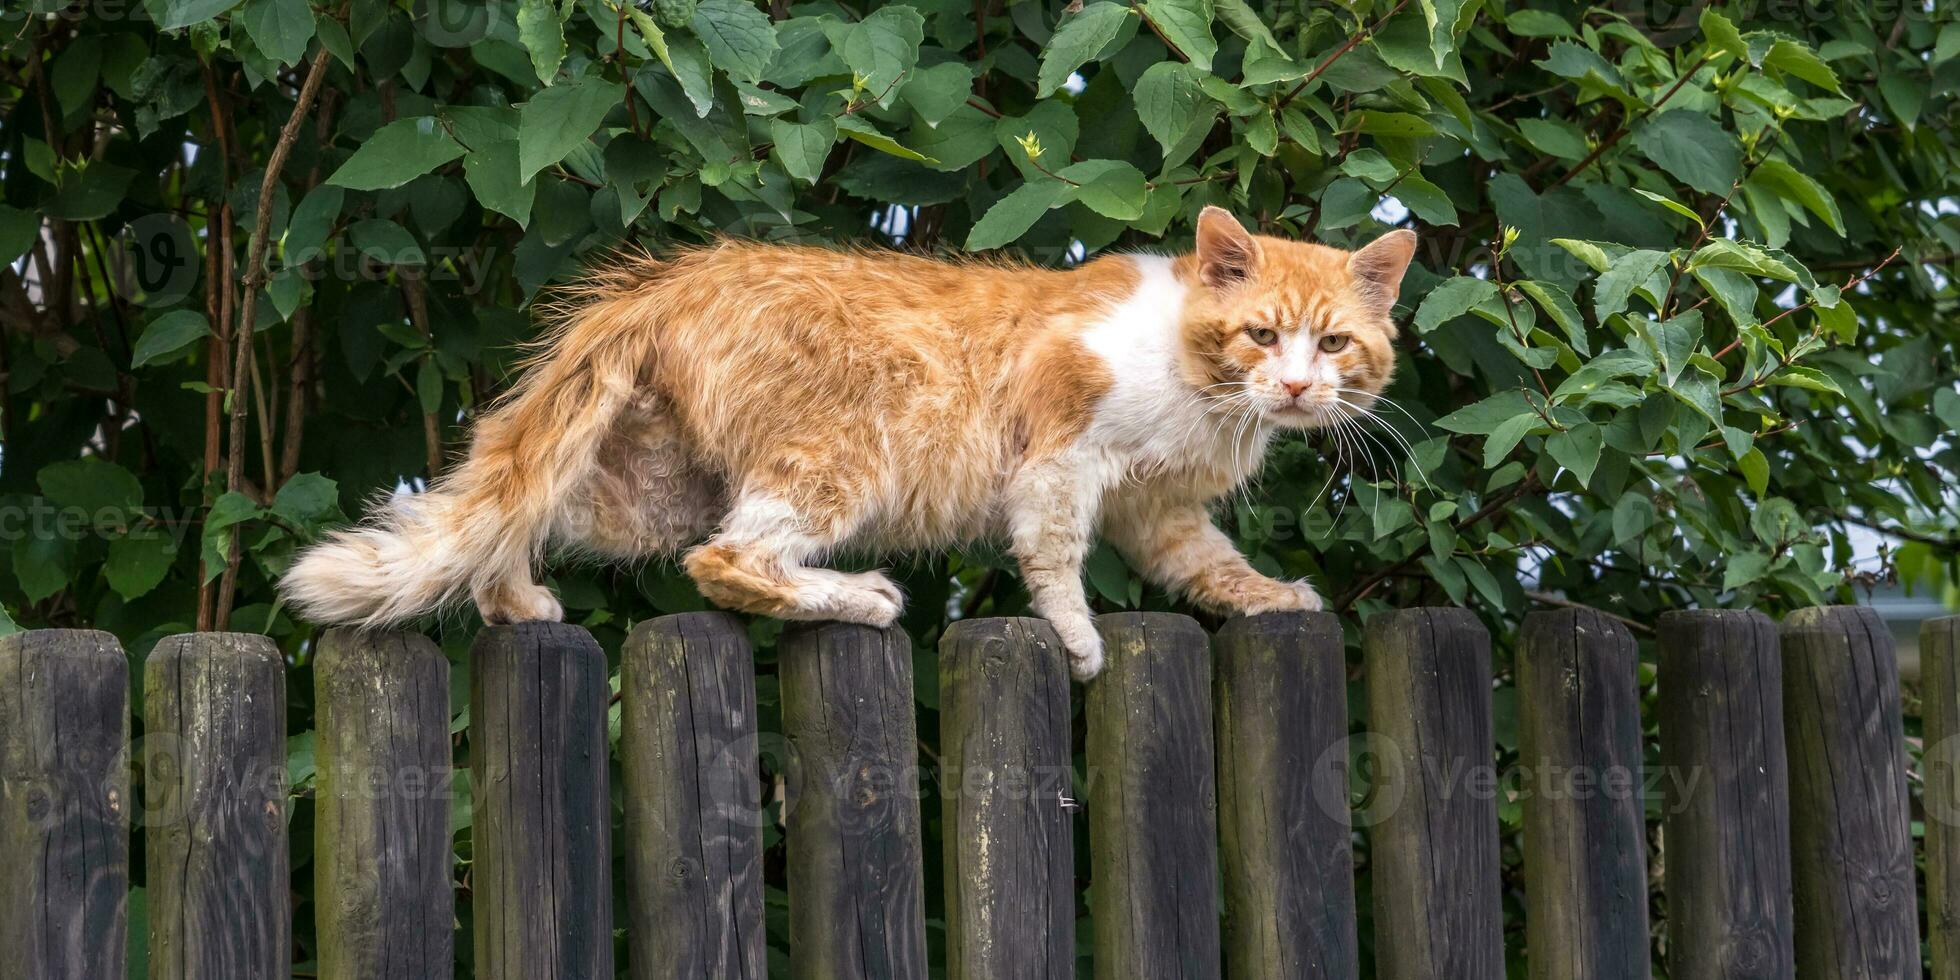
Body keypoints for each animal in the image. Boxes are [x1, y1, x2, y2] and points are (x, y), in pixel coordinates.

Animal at [284, 207, 1419, 678]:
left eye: (1333, 343)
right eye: (1262, 334)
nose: (1298, 385)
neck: (1200, 392)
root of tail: (670, 280)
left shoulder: (1156, 506)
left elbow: (1210, 565)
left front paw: (1271, 596)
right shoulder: (1058, 455)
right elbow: (1054, 561)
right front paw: (1078, 639)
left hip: (647, 492)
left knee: (506, 515)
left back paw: (515, 600)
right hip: (838, 464)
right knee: (729, 560)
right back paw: (859, 597)